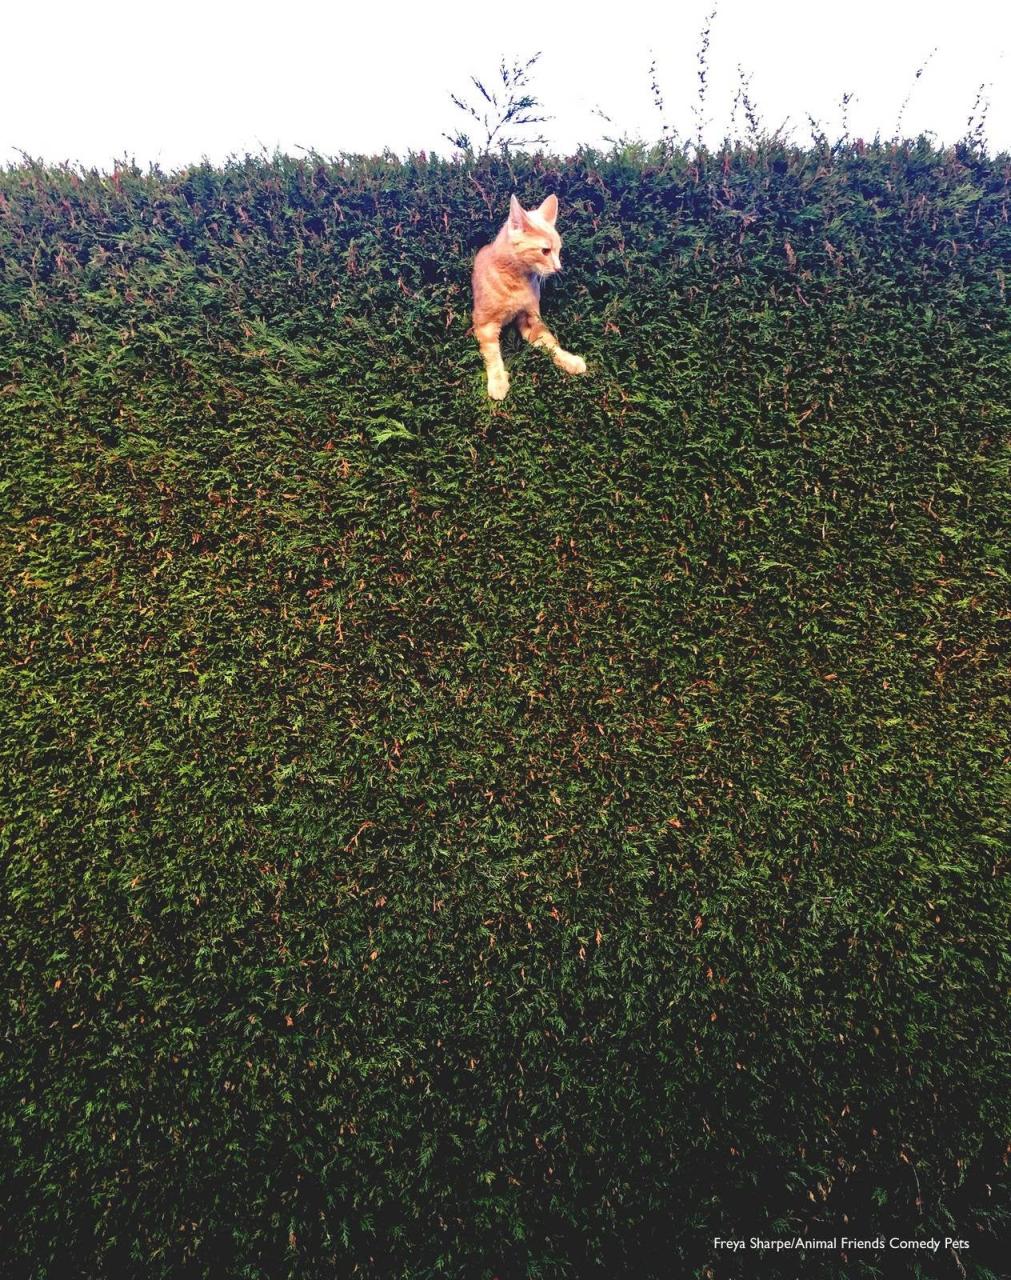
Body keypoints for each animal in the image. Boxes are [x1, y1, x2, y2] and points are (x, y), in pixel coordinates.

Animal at [473, 190, 588, 394]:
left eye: (558, 250)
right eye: (545, 251)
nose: (558, 268)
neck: (516, 281)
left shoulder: (531, 320)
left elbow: (550, 343)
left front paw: (568, 360)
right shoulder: (484, 324)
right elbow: (492, 354)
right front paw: (497, 381)